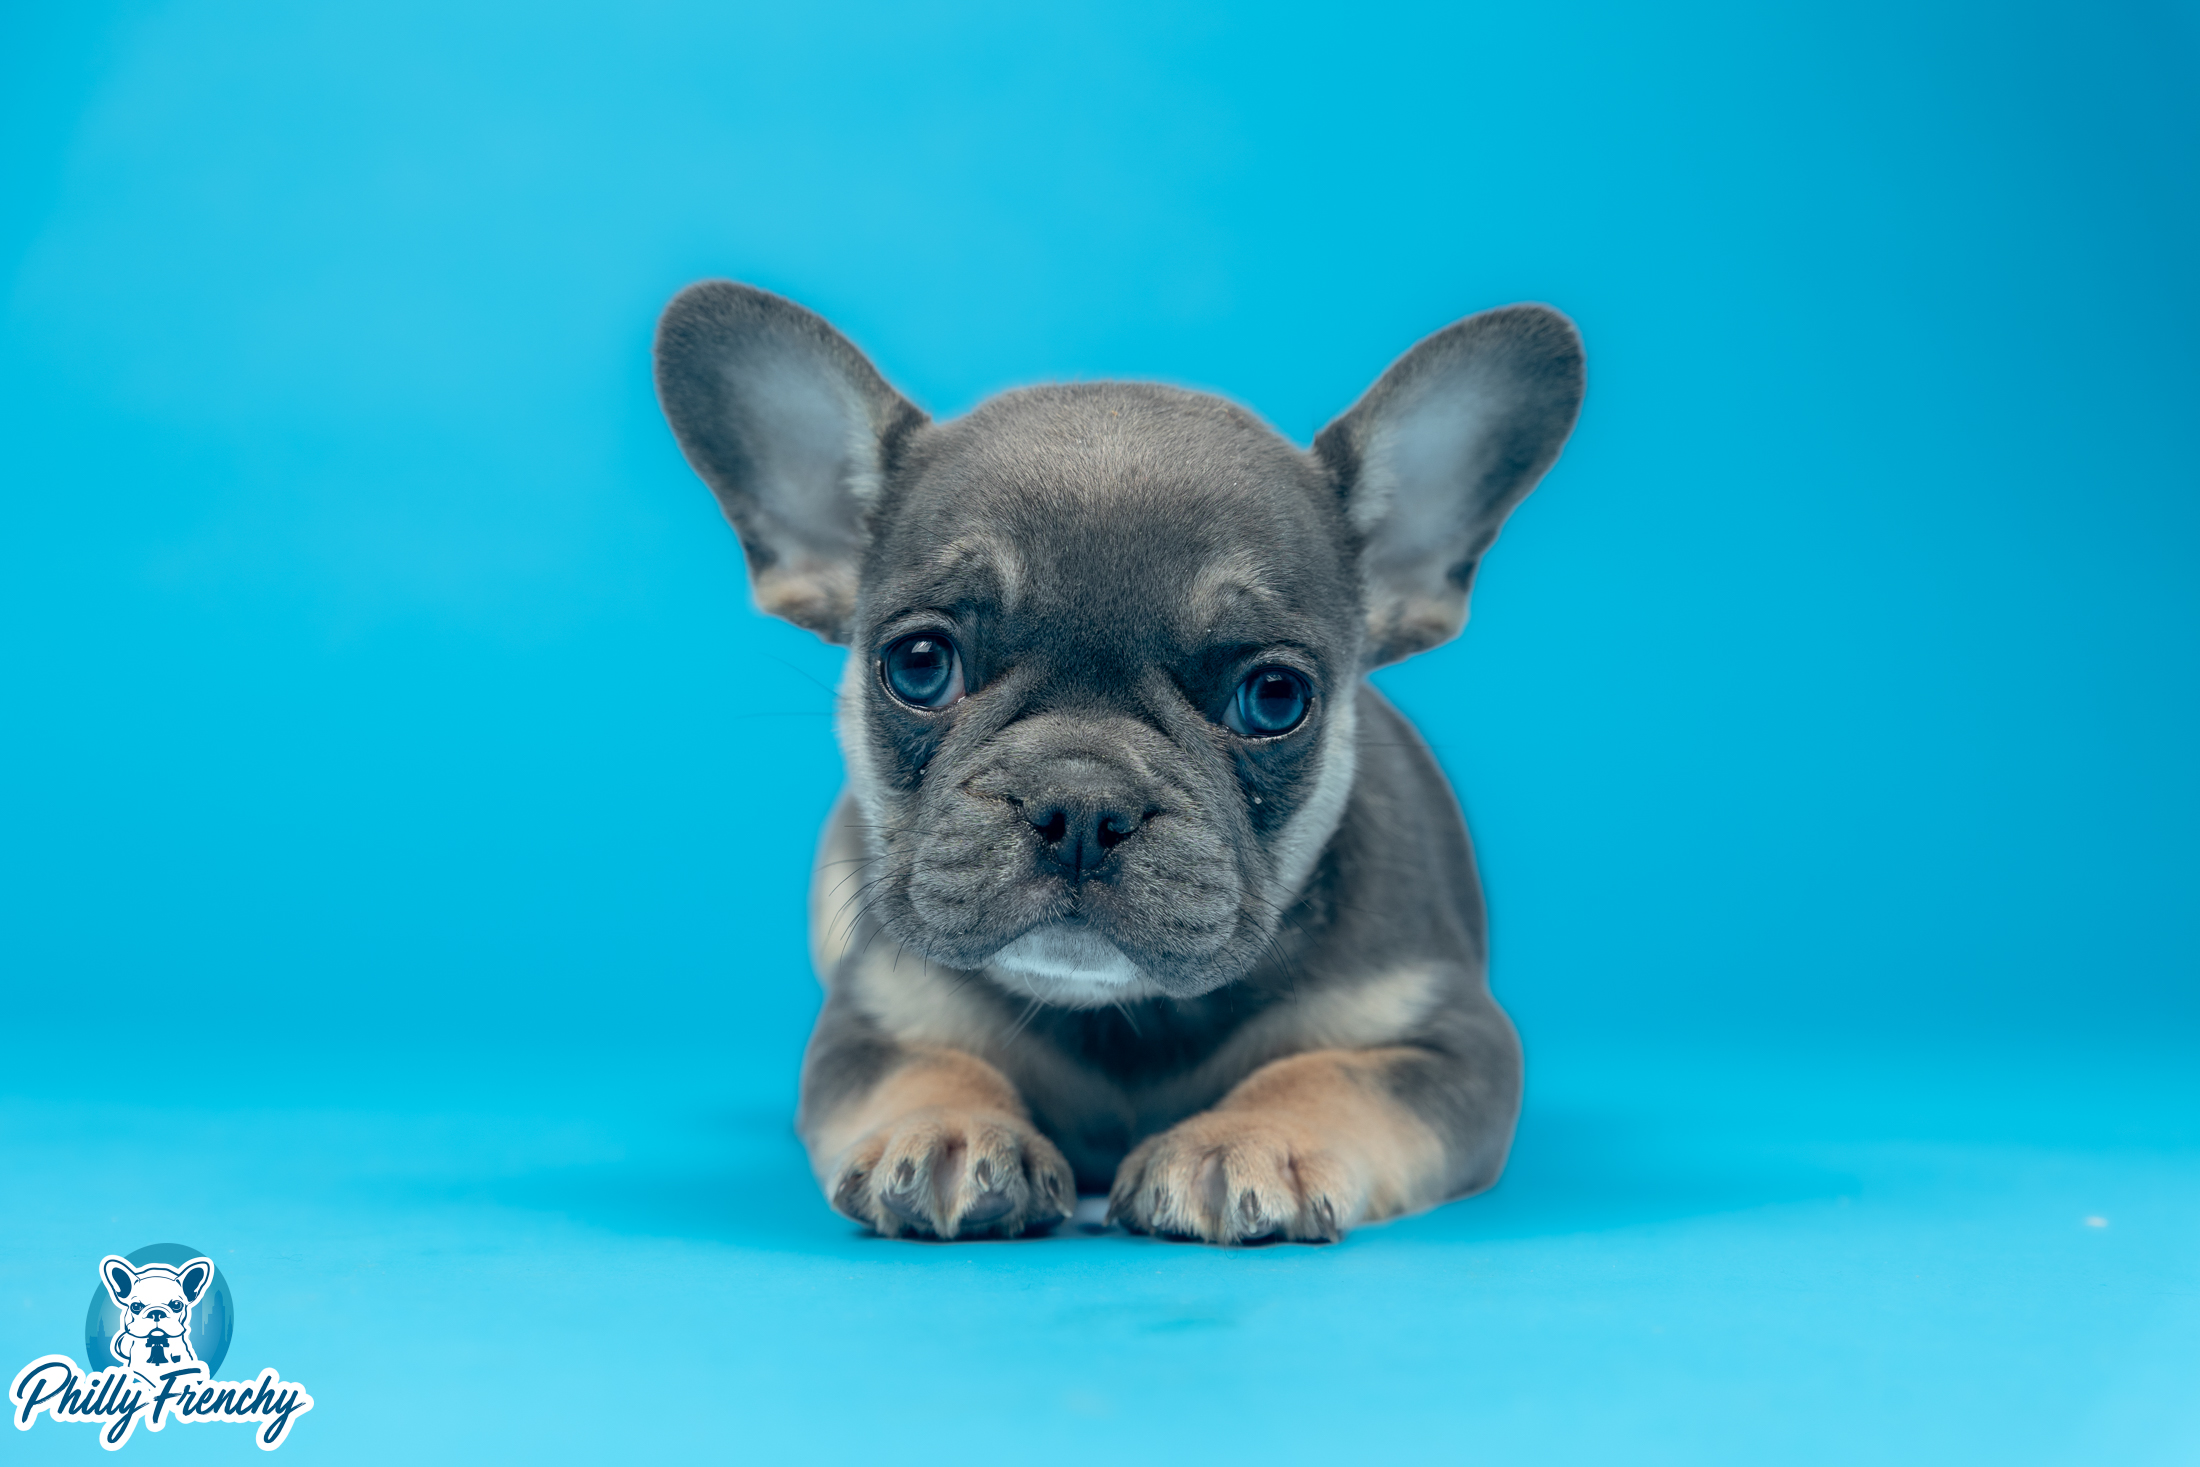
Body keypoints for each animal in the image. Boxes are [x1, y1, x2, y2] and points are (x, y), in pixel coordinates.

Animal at [651, 281, 1584, 1249]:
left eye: (1275, 696)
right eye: (919, 664)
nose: (1079, 802)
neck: (1126, 1016)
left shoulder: (1448, 1037)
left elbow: (1327, 1074)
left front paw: (1249, 1138)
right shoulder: (873, 1018)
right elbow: (925, 1064)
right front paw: (944, 1127)